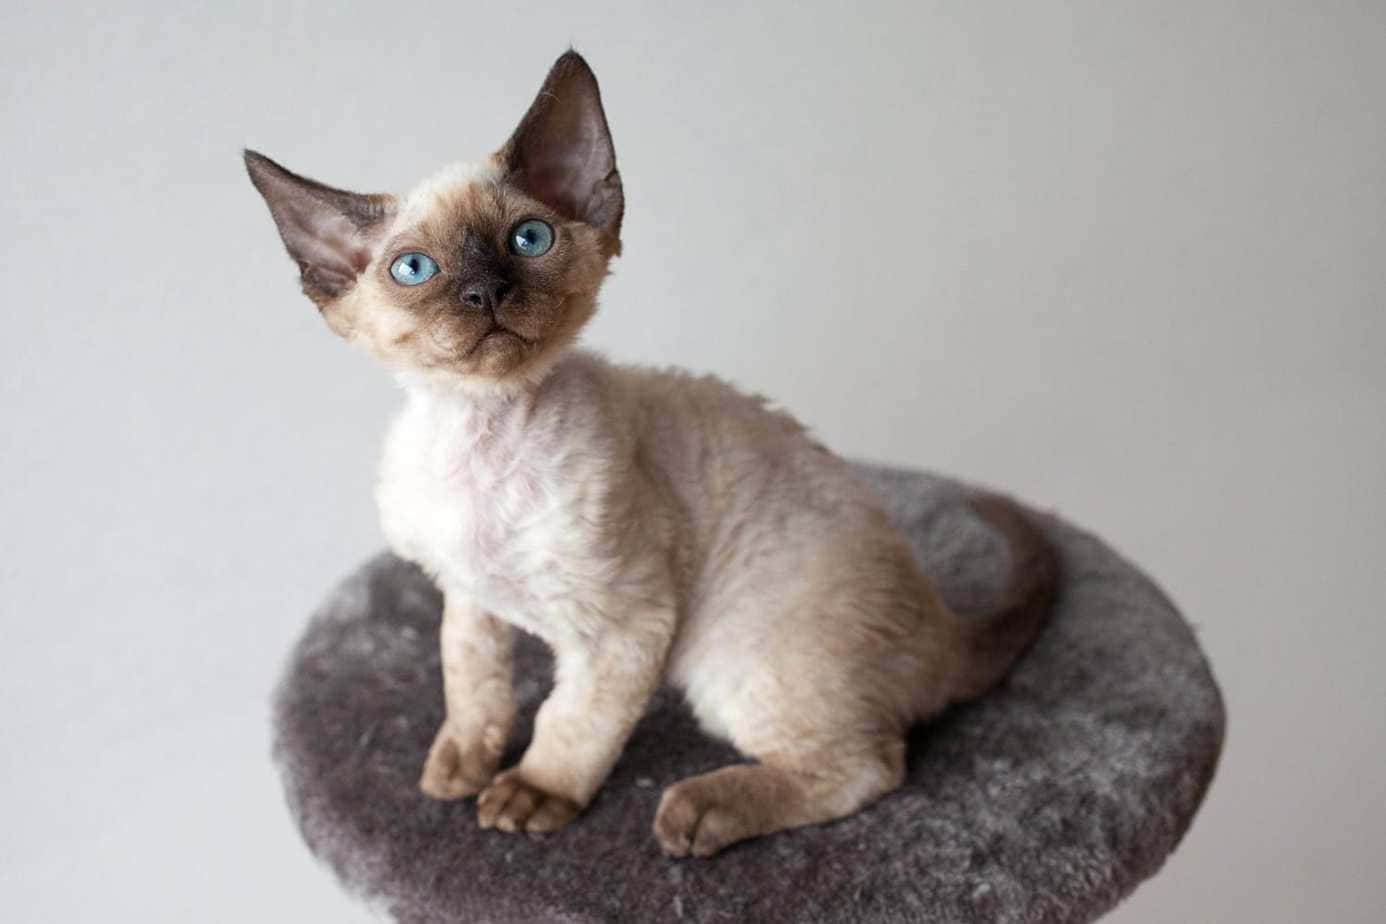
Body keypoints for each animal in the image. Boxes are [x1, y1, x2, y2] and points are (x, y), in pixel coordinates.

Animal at [243, 50, 1053, 858]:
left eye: (528, 240)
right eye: (414, 270)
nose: (485, 292)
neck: (483, 435)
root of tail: (943, 624)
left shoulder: (623, 628)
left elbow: (570, 722)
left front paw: (532, 794)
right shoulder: (467, 597)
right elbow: (471, 684)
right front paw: (460, 765)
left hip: (729, 661)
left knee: (874, 765)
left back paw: (696, 813)